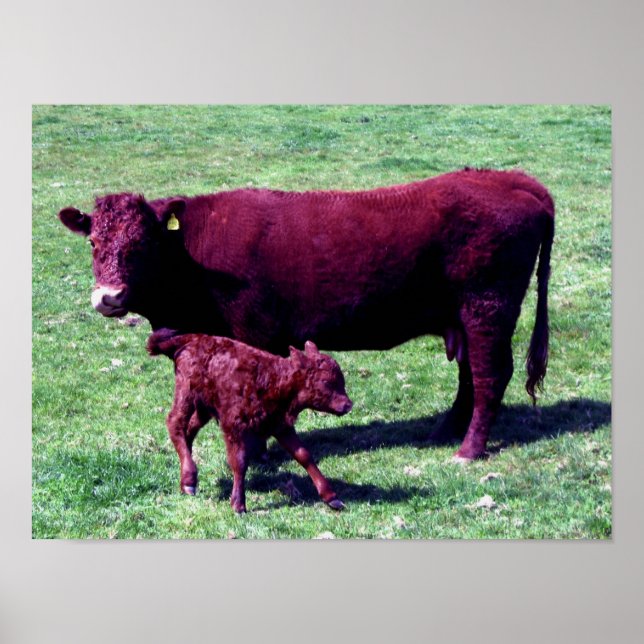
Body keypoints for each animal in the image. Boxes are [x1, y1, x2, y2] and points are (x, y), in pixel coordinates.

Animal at [59, 168, 554, 462]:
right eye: (93, 242)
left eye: (141, 244)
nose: (108, 297)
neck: (194, 257)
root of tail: (508, 179)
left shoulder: (256, 334)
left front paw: (257, 454)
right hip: (466, 317)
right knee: (471, 376)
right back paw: (443, 432)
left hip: (487, 308)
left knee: (490, 376)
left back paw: (468, 449)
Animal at [146, 329, 353, 513]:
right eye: (326, 382)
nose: (348, 405)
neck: (273, 379)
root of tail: (190, 338)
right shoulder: (234, 428)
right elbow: (239, 462)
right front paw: (238, 505)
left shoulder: (281, 426)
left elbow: (303, 455)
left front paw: (332, 498)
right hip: (186, 393)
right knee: (175, 423)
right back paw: (190, 479)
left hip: (203, 408)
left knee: (189, 431)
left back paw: (186, 480)